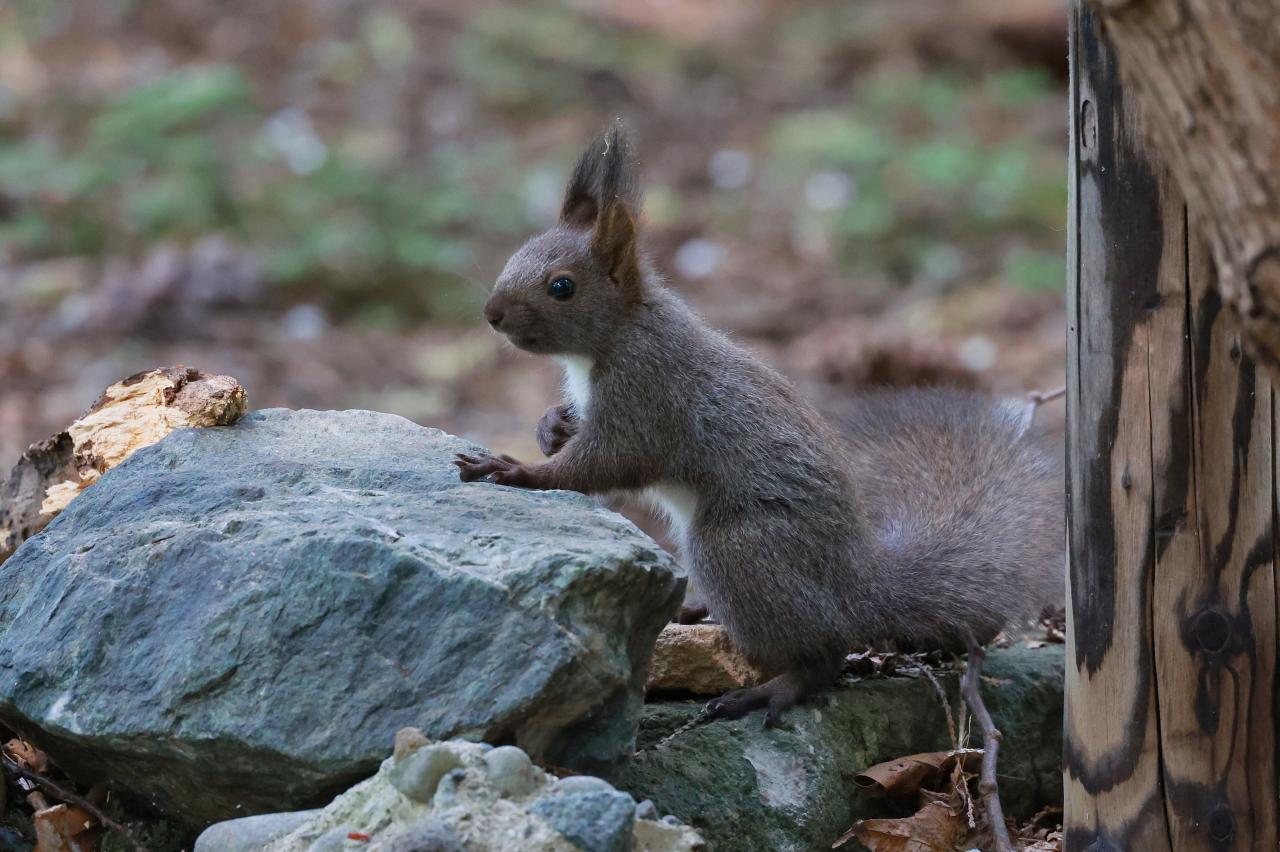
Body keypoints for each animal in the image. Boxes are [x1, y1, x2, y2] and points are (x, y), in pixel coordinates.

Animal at [455, 126, 1064, 844]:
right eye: (515, 257)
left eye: (561, 287)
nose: (492, 314)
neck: (622, 332)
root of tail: (860, 588)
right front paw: (550, 427)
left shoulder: (646, 398)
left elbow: (606, 466)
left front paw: (518, 469)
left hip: (738, 549)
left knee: (824, 656)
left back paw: (771, 688)